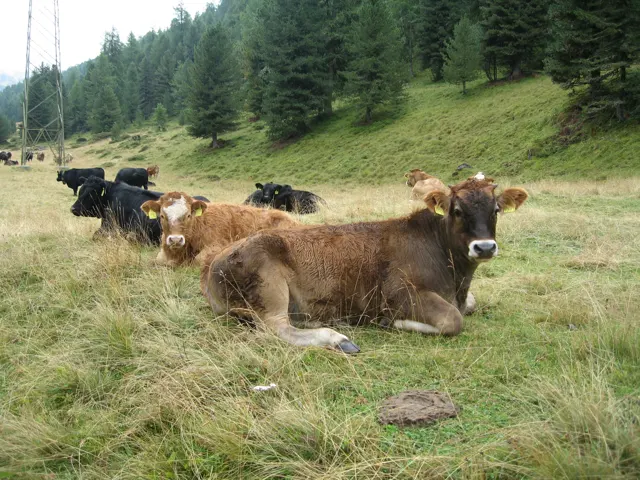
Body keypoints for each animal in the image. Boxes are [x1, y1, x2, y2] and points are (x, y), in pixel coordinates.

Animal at [141, 192, 299, 267]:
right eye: (162, 215)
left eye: (188, 215)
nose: (175, 239)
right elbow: (159, 260)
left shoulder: (217, 246)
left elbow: (198, 260)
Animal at [202, 175, 528, 353]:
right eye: (457, 210)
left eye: (496, 209)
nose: (484, 247)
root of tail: (214, 264)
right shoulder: (399, 293)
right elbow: (453, 319)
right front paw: (391, 322)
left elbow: (470, 304)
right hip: (269, 284)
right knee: (275, 328)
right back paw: (337, 339)